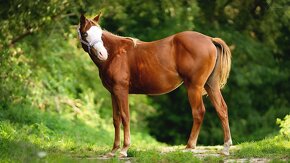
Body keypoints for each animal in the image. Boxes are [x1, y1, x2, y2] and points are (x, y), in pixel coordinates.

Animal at [77, 13, 233, 157]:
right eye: (85, 33)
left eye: (100, 34)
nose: (103, 54)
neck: (116, 53)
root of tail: (210, 39)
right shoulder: (113, 92)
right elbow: (116, 119)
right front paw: (113, 150)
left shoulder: (121, 90)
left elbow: (125, 117)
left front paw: (124, 149)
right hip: (211, 85)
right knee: (222, 110)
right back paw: (225, 148)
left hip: (194, 87)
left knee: (199, 112)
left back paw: (190, 146)